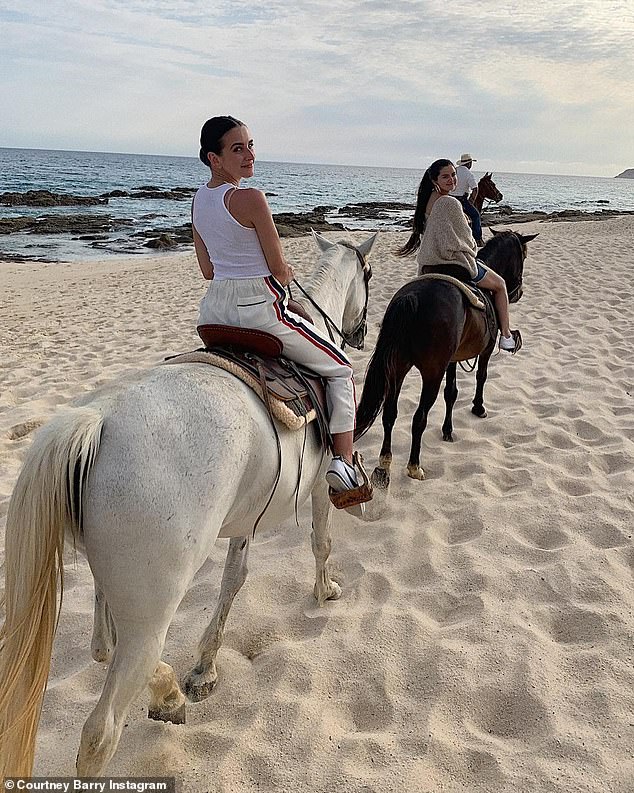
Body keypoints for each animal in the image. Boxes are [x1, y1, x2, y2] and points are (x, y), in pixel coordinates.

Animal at [0, 229, 376, 772]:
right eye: (368, 276)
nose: (360, 334)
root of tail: (98, 420)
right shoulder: (319, 488)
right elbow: (321, 543)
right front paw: (326, 591)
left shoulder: (245, 519)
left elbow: (233, 579)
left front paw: (203, 669)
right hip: (150, 614)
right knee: (99, 731)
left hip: (113, 591)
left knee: (101, 648)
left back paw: (168, 692)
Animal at [354, 229, 536, 486]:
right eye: (523, 255)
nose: (518, 292)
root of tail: (412, 298)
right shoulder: (485, 351)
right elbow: (481, 376)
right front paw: (478, 407)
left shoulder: (451, 360)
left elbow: (451, 393)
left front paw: (448, 430)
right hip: (432, 373)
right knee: (419, 417)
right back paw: (414, 466)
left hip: (398, 367)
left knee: (389, 413)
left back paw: (384, 463)